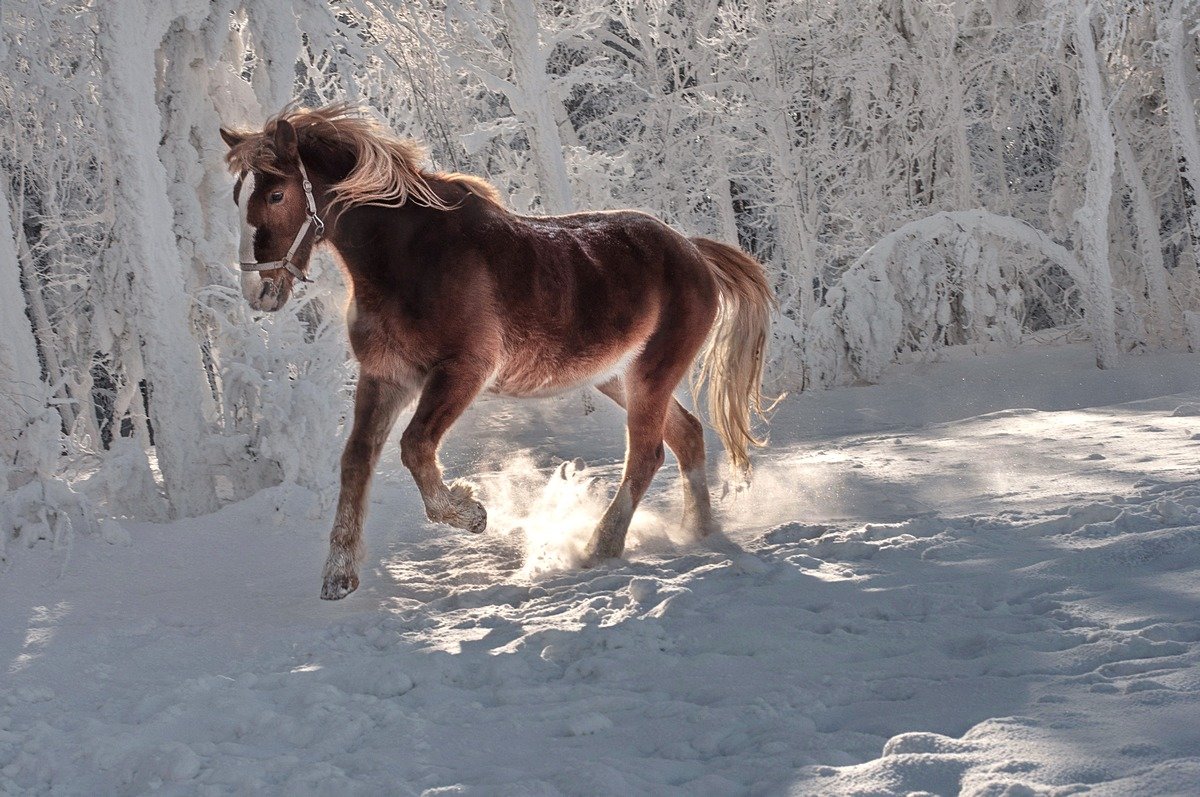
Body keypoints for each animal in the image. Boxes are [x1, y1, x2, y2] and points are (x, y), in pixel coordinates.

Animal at [219, 104, 772, 597]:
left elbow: (414, 446)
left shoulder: (462, 371)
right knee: (688, 437)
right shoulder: (384, 376)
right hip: (620, 377)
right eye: (238, 196)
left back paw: (600, 547)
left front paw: (471, 513)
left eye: (276, 193)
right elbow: (356, 461)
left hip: (651, 375)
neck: (408, 258)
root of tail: (693, 251)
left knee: (647, 455)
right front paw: (339, 575)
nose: (258, 291)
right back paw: (699, 533)